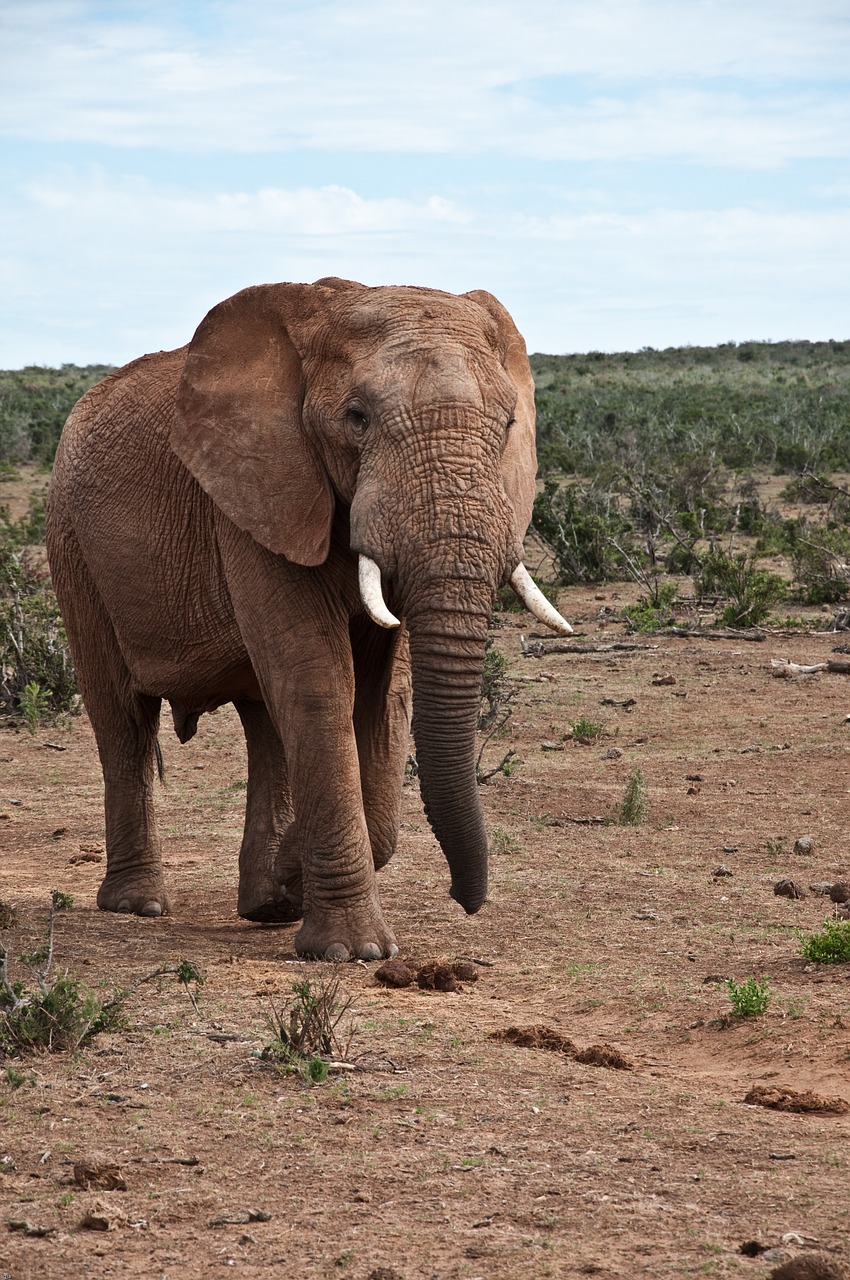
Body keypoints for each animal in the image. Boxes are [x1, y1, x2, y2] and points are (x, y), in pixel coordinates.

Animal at [49, 280, 573, 962]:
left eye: (509, 424)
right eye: (356, 418)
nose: (466, 901)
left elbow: (384, 692)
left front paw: (289, 877)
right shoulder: (261, 493)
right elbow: (319, 680)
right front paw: (354, 952)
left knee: (262, 719)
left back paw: (265, 904)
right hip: (72, 544)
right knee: (122, 717)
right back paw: (140, 905)